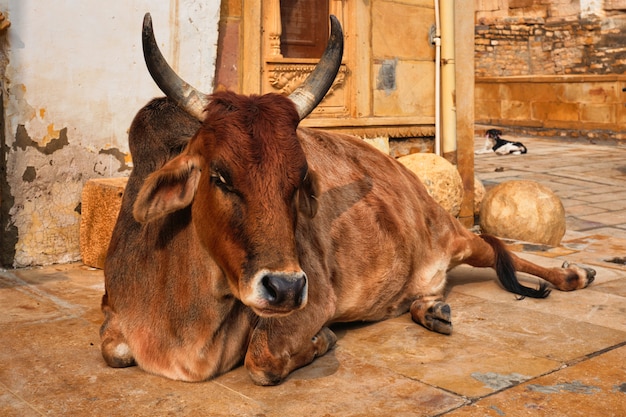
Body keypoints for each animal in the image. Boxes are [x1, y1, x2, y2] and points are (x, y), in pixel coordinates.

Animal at [100, 13, 592, 384]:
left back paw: (573, 275)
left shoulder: (315, 301)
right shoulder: (114, 317)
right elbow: (114, 350)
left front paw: (323, 340)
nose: (285, 288)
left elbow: (262, 359)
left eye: (299, 179)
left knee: (499, 249)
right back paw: (432, 309)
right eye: (219, 175)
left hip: (453, 235)